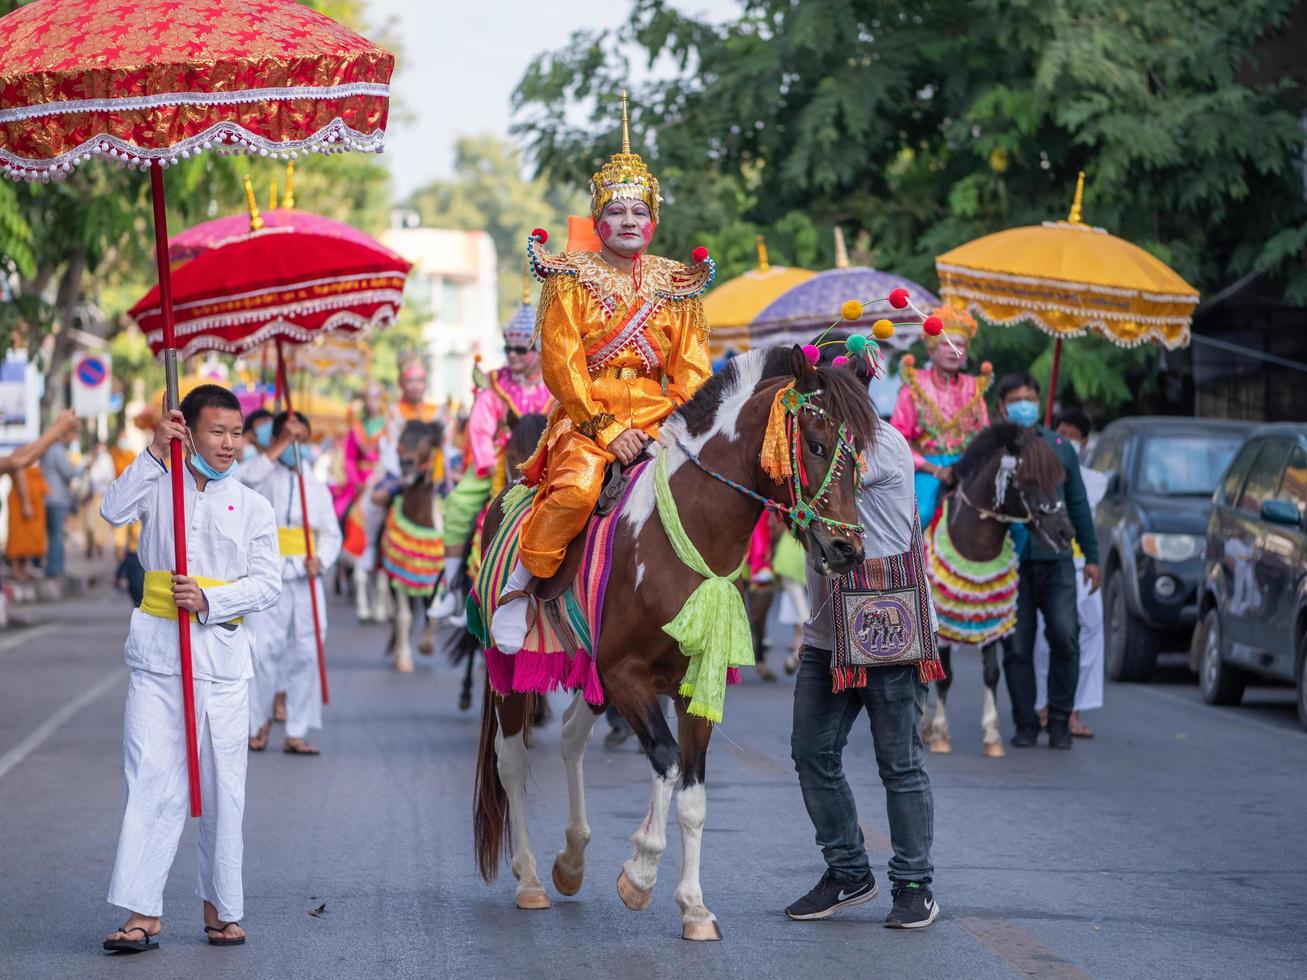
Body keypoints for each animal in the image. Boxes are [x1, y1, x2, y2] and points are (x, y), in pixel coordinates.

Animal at [473, 347, 878, 946]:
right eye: (816, 443)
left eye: (861, 455)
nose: (847, 548)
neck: (686, 534)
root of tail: (509, 490)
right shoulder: (625, 674)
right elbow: (665, 763)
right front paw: (640, 873)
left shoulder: (694, 683)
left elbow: (693, 793)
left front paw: (694, 908)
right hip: (510, 670)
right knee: (513, 762)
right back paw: (529, 879)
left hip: (589, 674)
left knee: (570, 738)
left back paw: (571, 860)